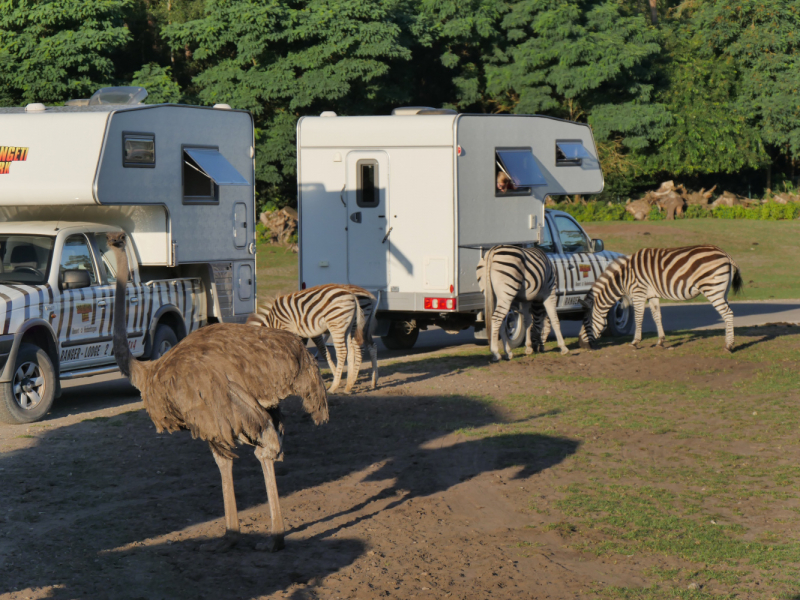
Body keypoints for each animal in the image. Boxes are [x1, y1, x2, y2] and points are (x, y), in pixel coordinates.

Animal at [576, 245, 744, 352]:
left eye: (586, 321)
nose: (580, 344)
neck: (624, 277)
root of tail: (725, 254)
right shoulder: (653, 295)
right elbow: (657, 316)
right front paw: (660, 341)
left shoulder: (638, 292)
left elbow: (638, 317)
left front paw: (635, 342)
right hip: (722, 291)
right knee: (728, 314)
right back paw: (729, 342)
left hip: (712, 289)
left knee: (727, 314)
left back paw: (729, 346)